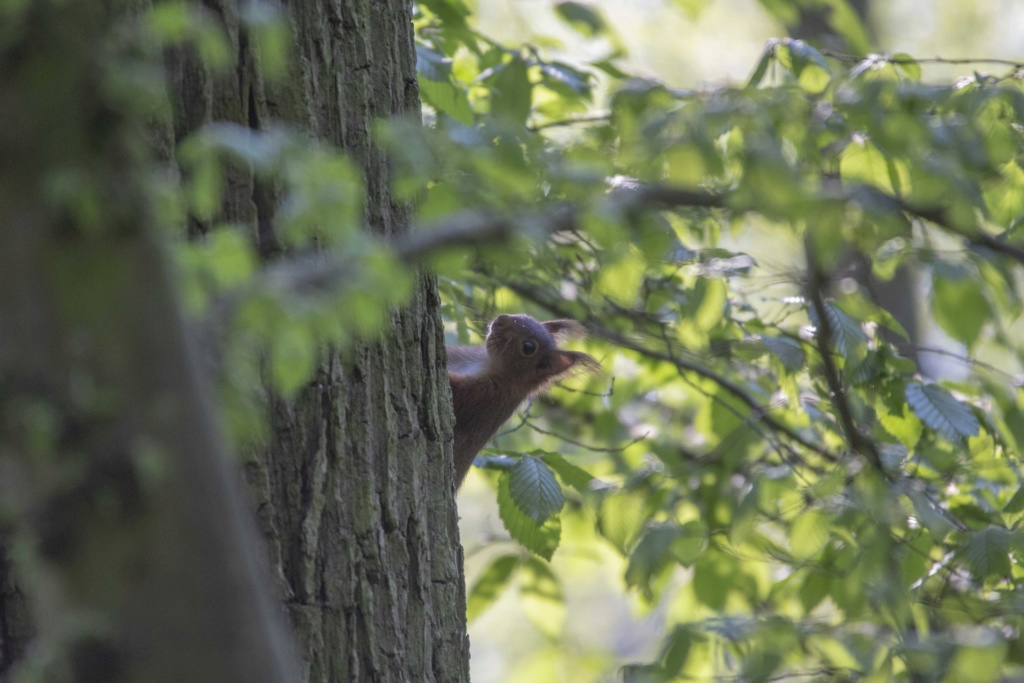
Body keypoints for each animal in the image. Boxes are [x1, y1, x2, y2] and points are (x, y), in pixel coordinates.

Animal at [446, 313, 598, 485]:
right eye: (525, 316)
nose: (501, 319)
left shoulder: (484, 396)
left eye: (529, 347)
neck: (486, 364)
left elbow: (457, 397)